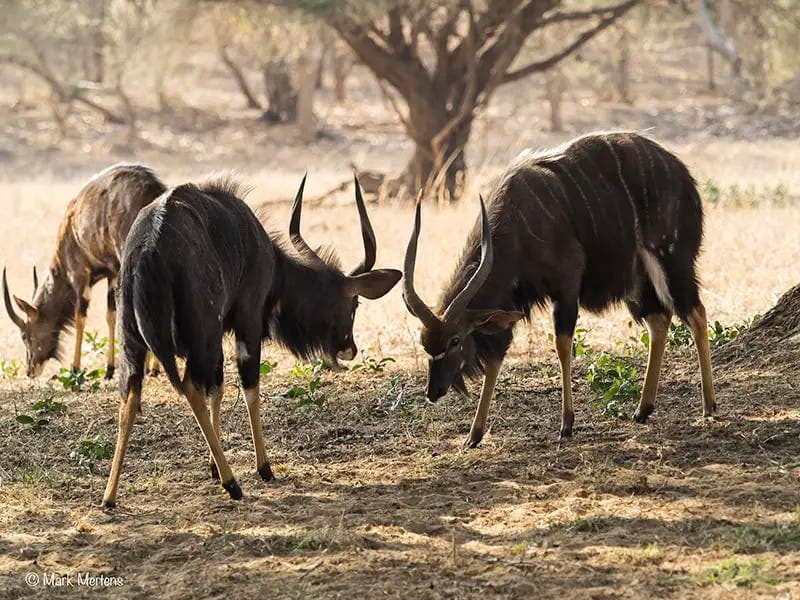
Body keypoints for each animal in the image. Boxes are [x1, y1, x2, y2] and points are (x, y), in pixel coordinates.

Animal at [3, 164, 166, 379]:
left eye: (25, 334)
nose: (30, 370)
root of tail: (154, 190)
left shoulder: (81, 276)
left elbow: (81, 318)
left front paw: (76, 368)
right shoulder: (112, 273)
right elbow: (110, 315)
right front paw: (110, 369)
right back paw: (153, 367)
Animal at [102, 174, 401, 507]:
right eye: (354, 304)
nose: (350, 348)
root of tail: (147, 252)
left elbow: (217, 390)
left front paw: (212, 466)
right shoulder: (247, 322)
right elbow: (250, 389)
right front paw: (263, 467)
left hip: (135, 343)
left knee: (130, 396)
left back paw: (109, 497)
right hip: (202, 337)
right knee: (191, 387)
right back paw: (233, 484)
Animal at [402, 132, 716, 448]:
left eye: (455, 340)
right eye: (425, 343)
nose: (433, 392)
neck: (518, 225)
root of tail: (684, 175)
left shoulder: (566, 285)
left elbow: (562, 345)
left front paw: (566, 424)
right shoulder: (511, 305)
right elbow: (496, 358)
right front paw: (473, 435)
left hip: (671, 260)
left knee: (696, 313)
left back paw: (708, 406)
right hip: (638, 279)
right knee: (659, 320)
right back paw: (643, 409)